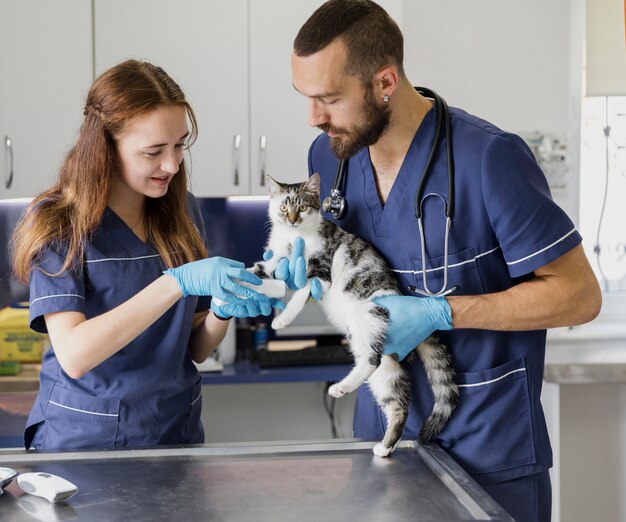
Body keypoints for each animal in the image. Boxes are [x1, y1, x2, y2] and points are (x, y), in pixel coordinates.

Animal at [250, 173, 458, 452]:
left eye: (302, 207)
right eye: (284, 207)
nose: (292, 220)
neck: (294, 238)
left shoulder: (322, 270)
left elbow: (302, 291)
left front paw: (283, 319)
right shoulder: (275, 261)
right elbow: (258, 271)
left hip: (366, 317)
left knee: (372, 360)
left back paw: (343, 388)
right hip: (380, 358)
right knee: (395, 400)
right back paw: (385, 445)